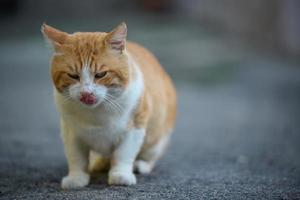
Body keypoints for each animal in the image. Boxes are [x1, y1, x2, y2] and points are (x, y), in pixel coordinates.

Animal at [41, 22, 175, 189]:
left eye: (100, 74)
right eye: (73, 76)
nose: (86, 93)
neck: (96, 113)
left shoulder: (136, 125)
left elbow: (124, 154)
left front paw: (120, 175)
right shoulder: (70, 130)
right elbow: (76, 156)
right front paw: (76, 177)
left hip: (158, 139)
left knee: (151, 155)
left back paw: (141, 165)